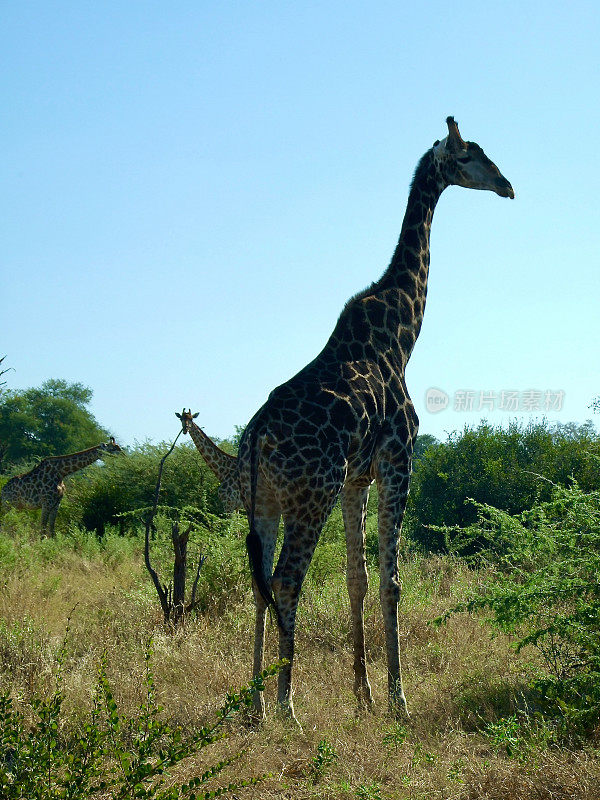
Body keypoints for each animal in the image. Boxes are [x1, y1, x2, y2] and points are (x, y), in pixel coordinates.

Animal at [196, 119, 510, 724]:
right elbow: (391, 582)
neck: (403, 333)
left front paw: (362, 694)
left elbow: (356, 580)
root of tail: (256, 440)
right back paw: (288, 705)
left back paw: (256, 704)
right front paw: (398, 698)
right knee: (286, 580)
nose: (508, 186)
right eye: (470, 156)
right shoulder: (397, 461)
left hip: (265, 502)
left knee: (258, 581)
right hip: (310, 493)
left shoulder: (355, 479)